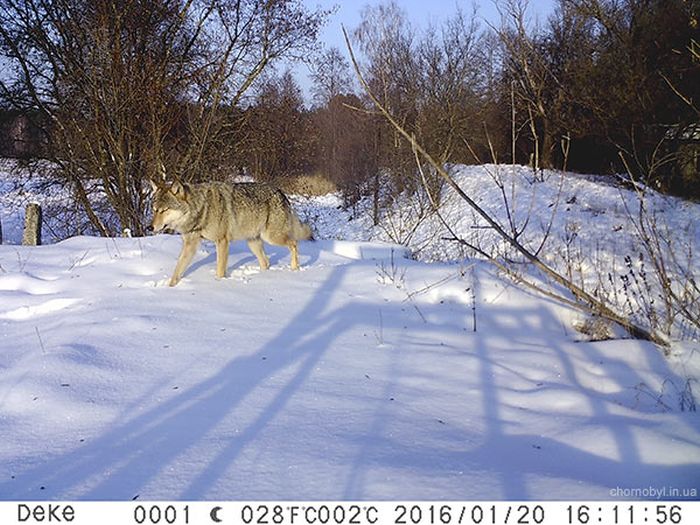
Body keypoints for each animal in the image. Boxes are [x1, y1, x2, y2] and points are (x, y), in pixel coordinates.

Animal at [149, 180, 314, 286]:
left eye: (164, 210)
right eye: (154, 210)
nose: (150, 227)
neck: (201, 209)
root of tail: (280, 192)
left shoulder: (222, 241)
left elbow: (220, 269)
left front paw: (220, 283)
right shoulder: (190, 244)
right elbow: (178, 269)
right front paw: (170, 287)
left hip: (272, 237)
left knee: (294, 243)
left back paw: (294, 269)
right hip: (253, 242)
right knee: (266, 262)